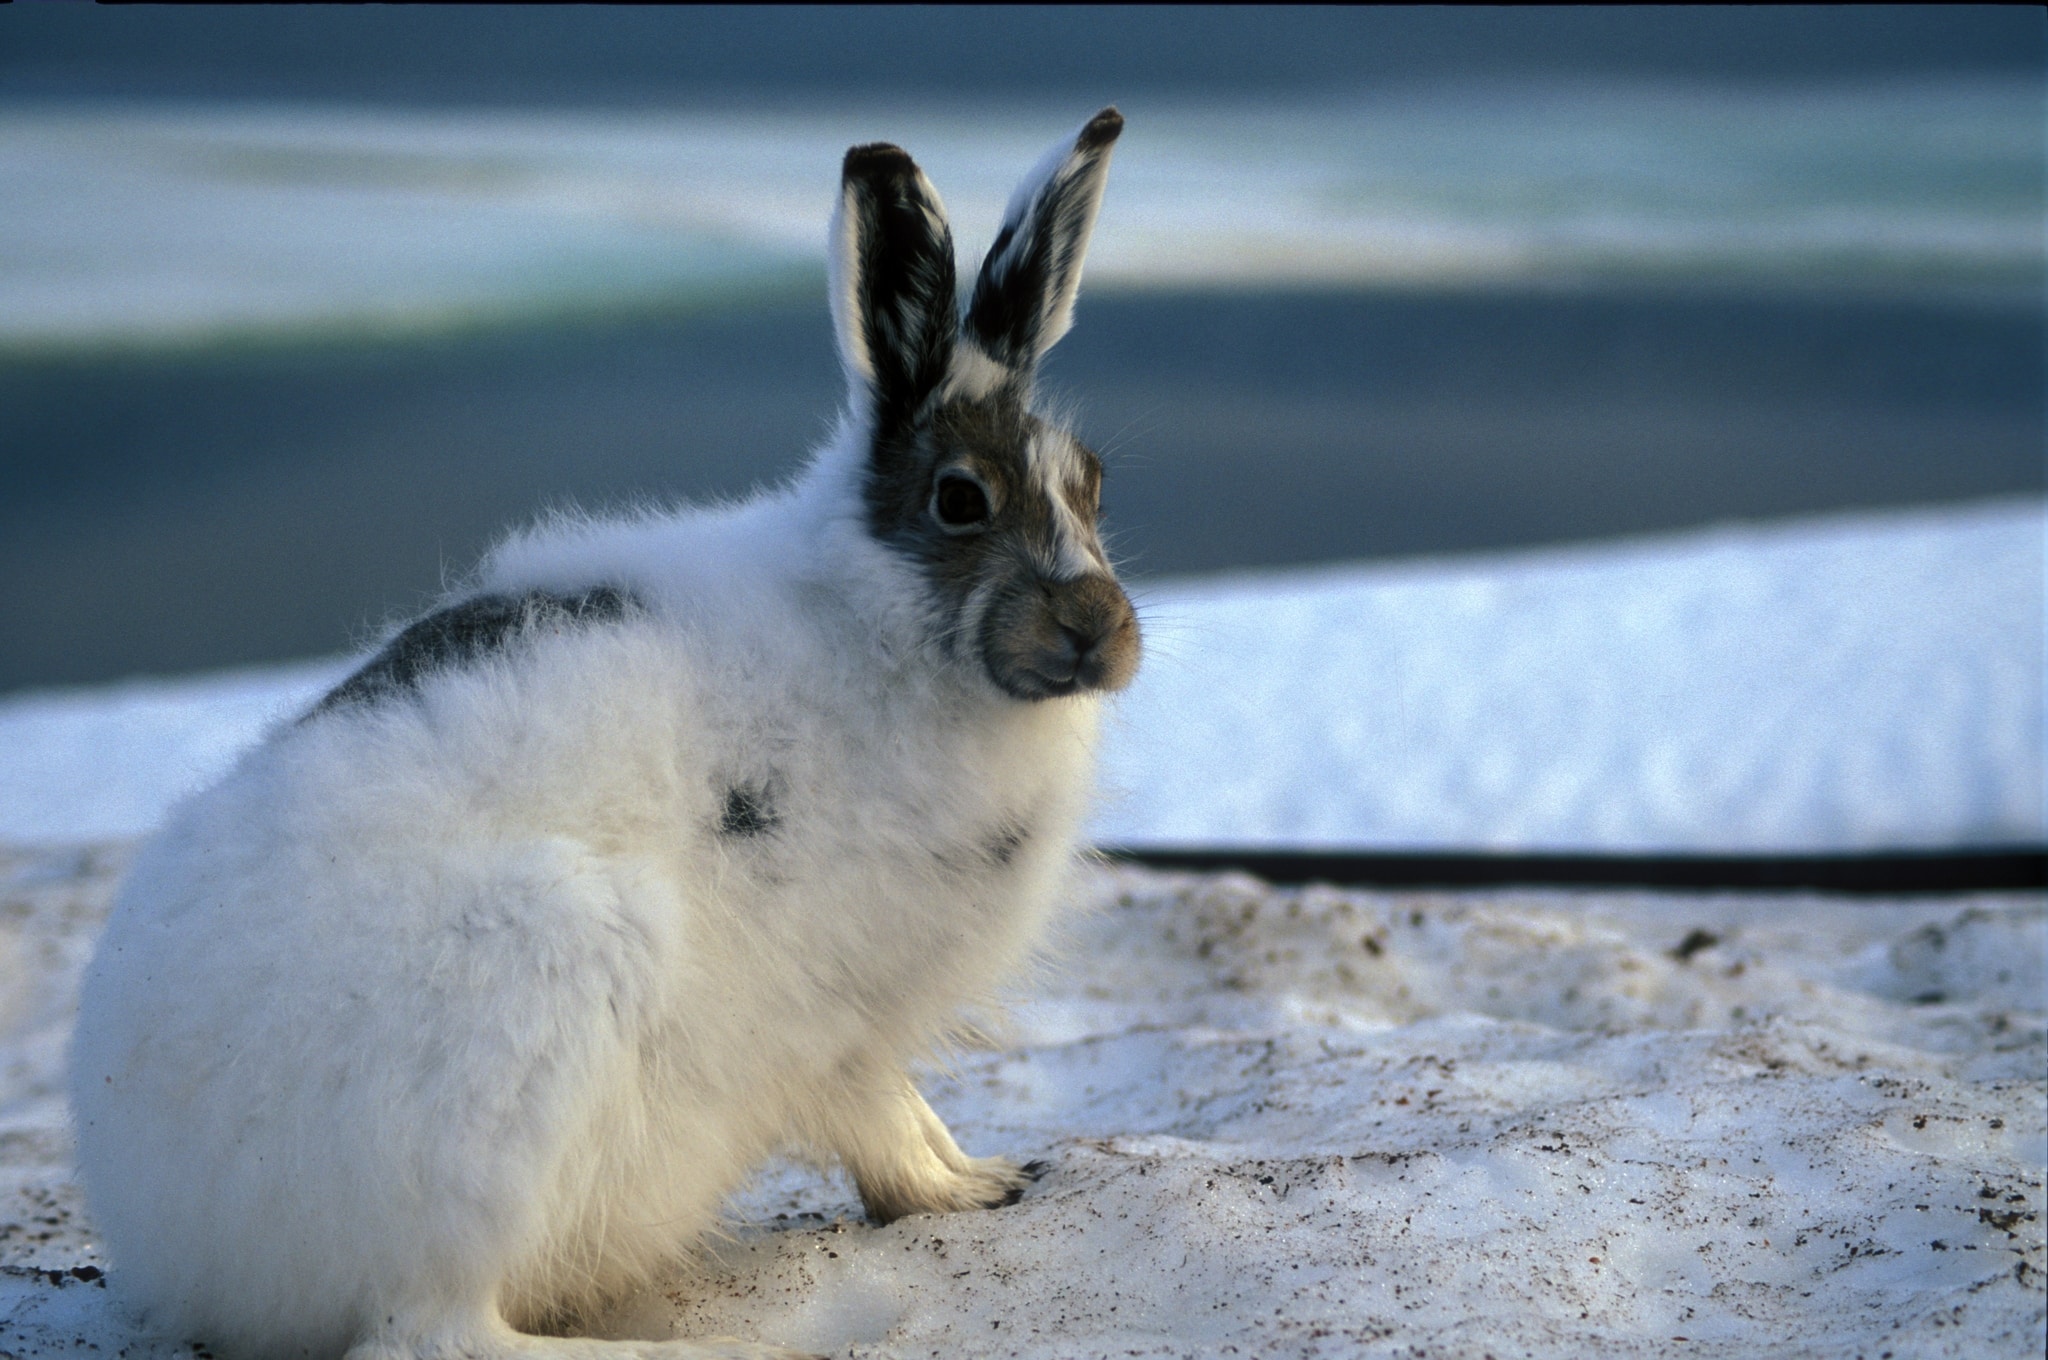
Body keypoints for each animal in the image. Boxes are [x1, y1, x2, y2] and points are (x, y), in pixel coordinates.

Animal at [67, 107, 1138, 1360]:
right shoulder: (835, 1022)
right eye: (958, 500)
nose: (1096, 631)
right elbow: (880, 1121)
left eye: (1092, 485)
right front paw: (957, 1191)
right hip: (528, 1014)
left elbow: (914, 1116)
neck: (872, 621)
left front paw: (988, 1176)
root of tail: (173, 1247)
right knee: (434, 1328)